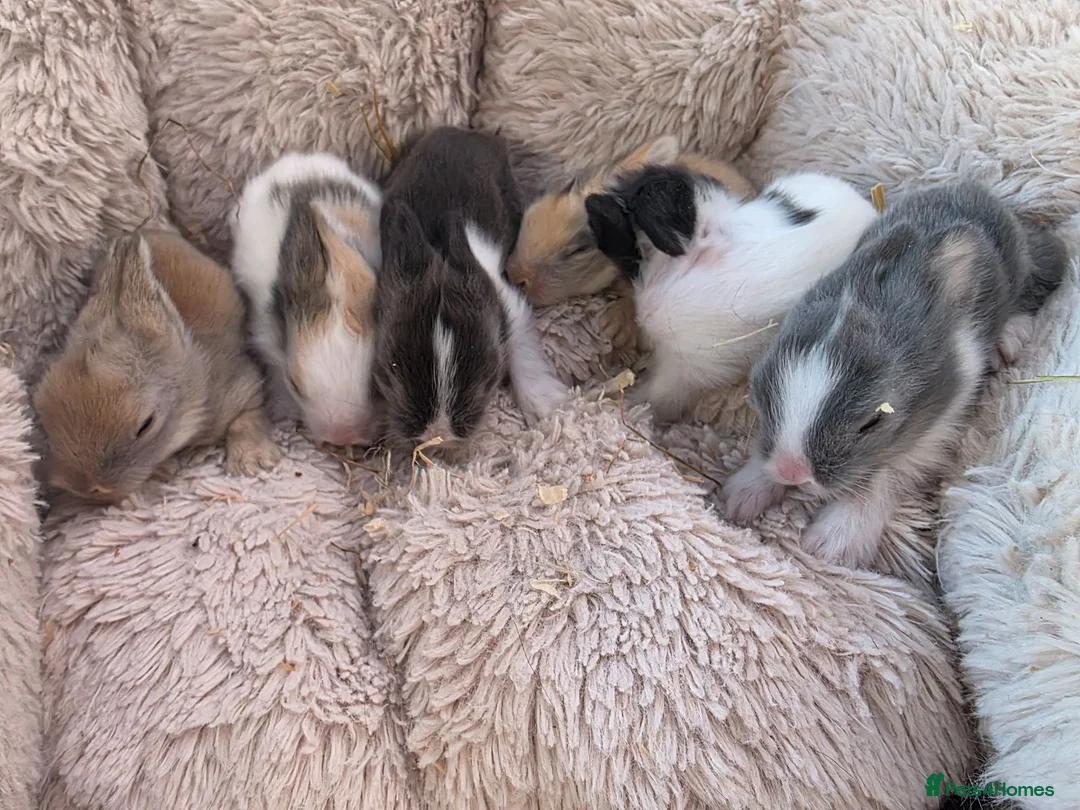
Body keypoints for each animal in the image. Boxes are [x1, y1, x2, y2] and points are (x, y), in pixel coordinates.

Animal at [33, 229, 281, 505]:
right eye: (41, 410)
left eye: (146, 424)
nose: (89, 488)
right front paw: (165, 468)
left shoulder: (242, 386)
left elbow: (246, 419)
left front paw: (252, 461)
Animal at [373, 125, 568, 451]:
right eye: (390, 369)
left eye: (490, 378)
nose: (438, 436)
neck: (440, 249)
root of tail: (467, 132)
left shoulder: (509, 302)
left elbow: (522, 346)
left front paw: (544, 404)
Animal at [723, 180, 1068, 568]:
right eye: (758, 392)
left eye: (872, 422)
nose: (791, 472)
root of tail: (976, 187)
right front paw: (741, 495)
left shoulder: (938, 429)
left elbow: (885, 476)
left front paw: (831, 543)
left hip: (1026, 265)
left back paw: (1011, 336)